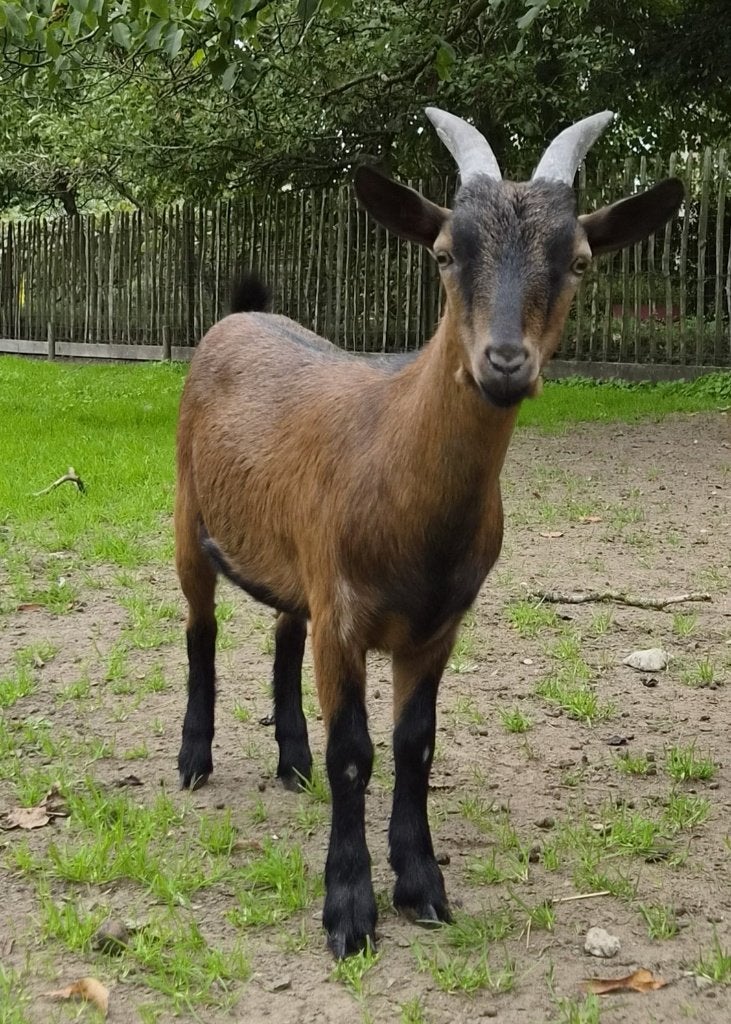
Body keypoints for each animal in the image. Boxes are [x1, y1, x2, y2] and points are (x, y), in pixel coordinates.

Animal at [175, 108, 683, 958]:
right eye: (445, 254)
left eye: (579, 261)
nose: (504, 361)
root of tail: (241, 313)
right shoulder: (344, 614)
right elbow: (355, 755)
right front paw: (349, 911)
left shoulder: (436, 625)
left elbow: (414, 745)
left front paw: (421, 886)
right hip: (188, 516)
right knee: (200, 628)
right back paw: (193, 758)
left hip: (292, 558)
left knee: (282, 631)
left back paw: (290, 760)